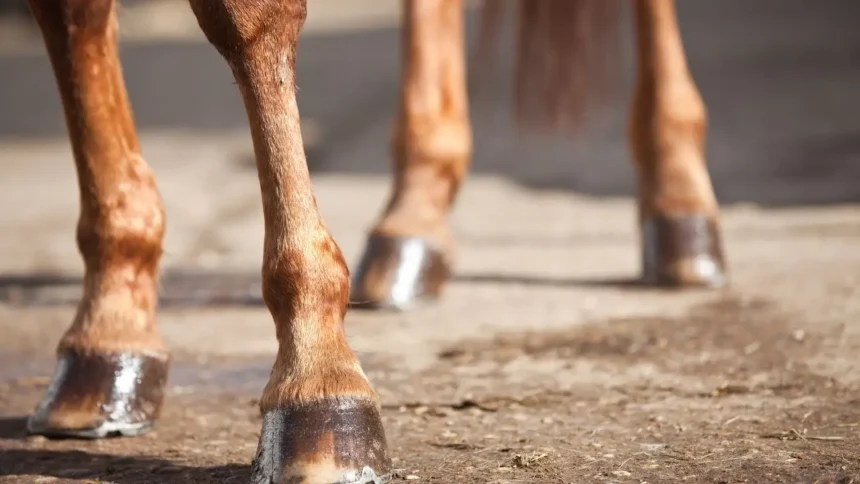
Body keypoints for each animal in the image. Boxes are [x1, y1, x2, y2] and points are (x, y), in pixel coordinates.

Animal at [21, 0, 725, 483]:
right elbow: (72, 15)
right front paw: (111, 335)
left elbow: (244, 14)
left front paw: (318, 377)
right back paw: (413, 221)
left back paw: (682, 210)